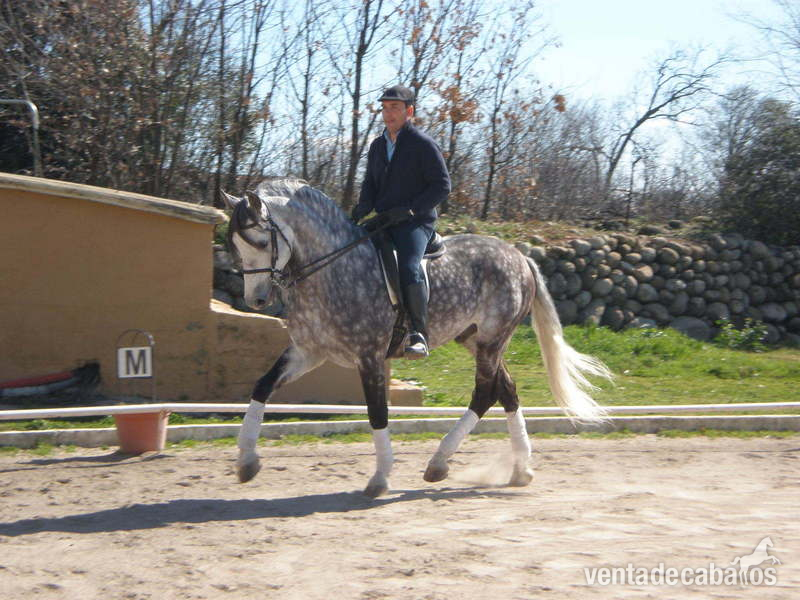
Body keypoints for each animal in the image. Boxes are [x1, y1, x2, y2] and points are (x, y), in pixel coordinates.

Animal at [221, 179, 611, 498]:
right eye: (236, 246)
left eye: (261, 241)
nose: (256, 301)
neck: (332, 270)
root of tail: (518, 255)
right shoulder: (308, 351)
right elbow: (262, 385)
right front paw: (246, 461)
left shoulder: (369, 357)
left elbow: (377, 412)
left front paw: (380, 478)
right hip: (473, 339)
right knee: (507, 390)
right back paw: (519, 469)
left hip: (492, 339)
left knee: (485, 393)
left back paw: (439, 463)